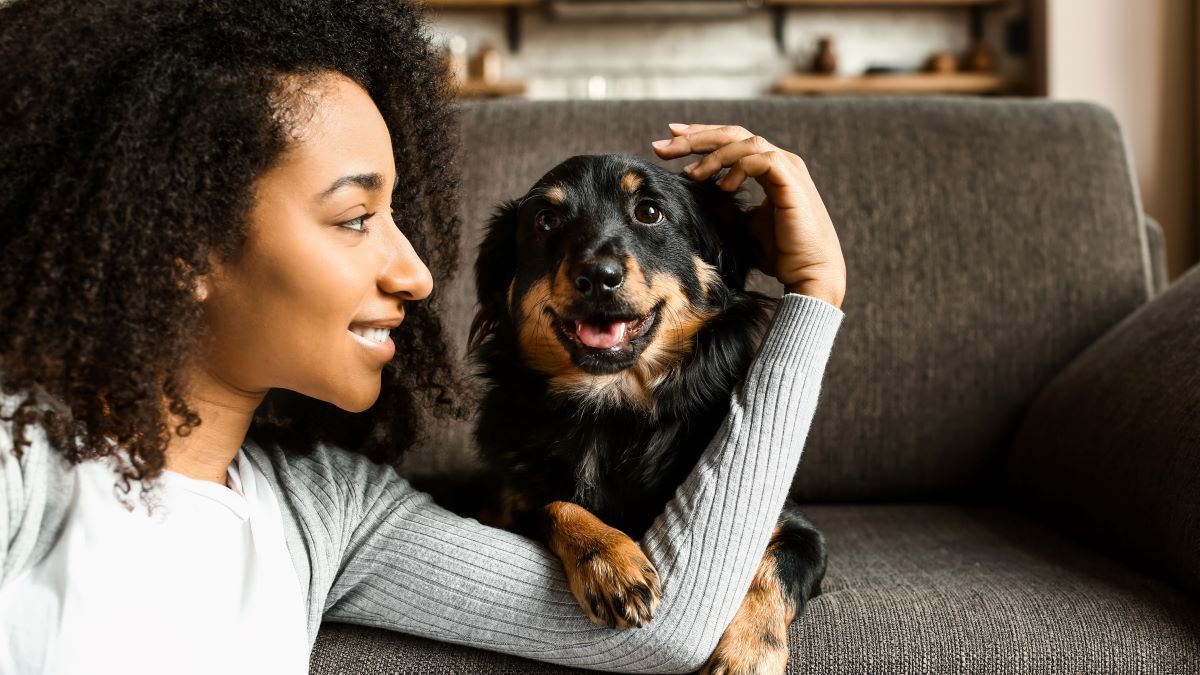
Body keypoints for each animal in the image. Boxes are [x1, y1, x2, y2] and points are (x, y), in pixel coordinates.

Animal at [451, 153, 825, 672]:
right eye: (545, 221)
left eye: (649, 212)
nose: (597, 276)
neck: (609, 408)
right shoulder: (502, 508)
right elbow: (555, 503)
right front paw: (611, 562)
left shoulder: (796, 529)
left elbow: (774, 572)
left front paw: (750, 653)